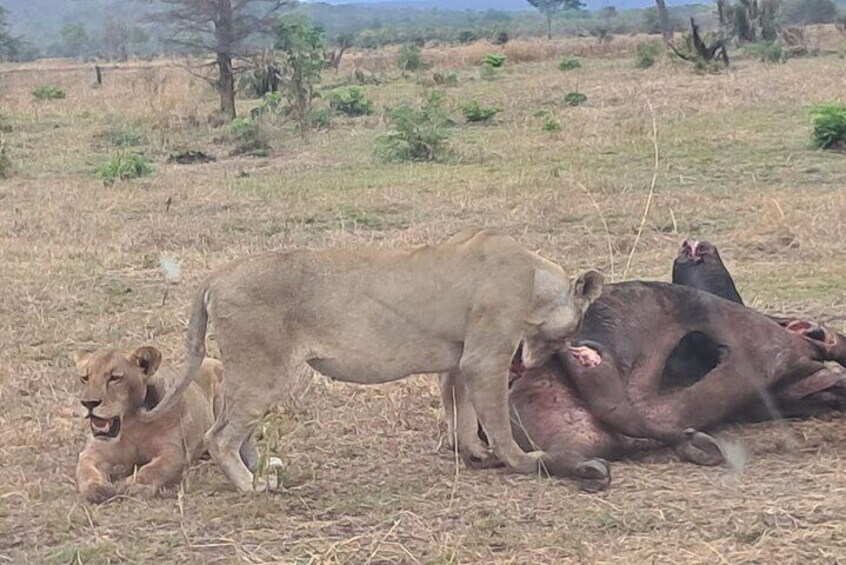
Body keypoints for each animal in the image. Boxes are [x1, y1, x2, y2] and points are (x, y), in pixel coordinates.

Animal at [72, 344, 232, 502]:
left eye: (115, 378)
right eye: (84, 378)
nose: (88, 403)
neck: (132, 424)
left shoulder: (175, 453)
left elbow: (153, 469)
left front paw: (134, 485)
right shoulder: (93, 451)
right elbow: (87, 469)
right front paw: (97, 489)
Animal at [139, 227, 604, 492]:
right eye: (569, 333)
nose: (534, 364)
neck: (536, 283)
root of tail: (218, 274)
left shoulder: (458, 361)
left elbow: (461, 414)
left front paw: (473, 453)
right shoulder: (484, 359)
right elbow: (497, 422)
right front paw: (526, 462)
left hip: (256, 375)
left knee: (237, 428)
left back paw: (264, 468)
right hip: (262, 370)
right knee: (219, 436)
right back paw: (252, 486)